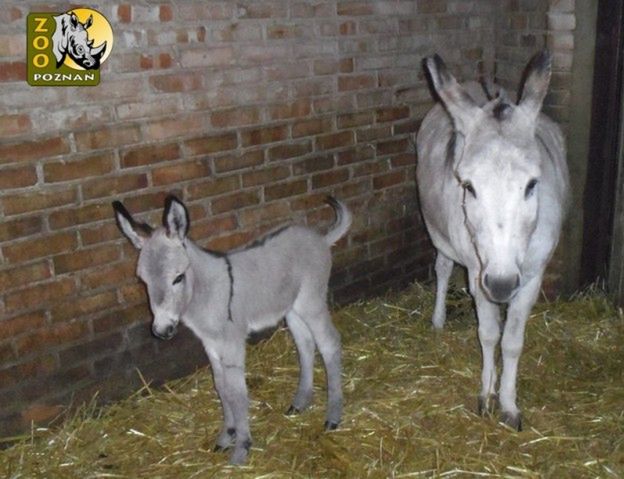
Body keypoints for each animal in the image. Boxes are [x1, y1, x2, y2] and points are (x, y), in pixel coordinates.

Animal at [113, 195, 352, 464]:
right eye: (142, 281)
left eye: (178, 278)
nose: (162, 330)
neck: (204, 294)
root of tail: (320, 238)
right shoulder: (211, 344)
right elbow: (221, 387)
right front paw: (226, 435)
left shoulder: (232, 343)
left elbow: (238, 394)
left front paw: (241, 449)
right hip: (292, 308)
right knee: (305, 345)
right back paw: (300, 402)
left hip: (311, 301)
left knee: (329, 344)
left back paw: (333, 416)